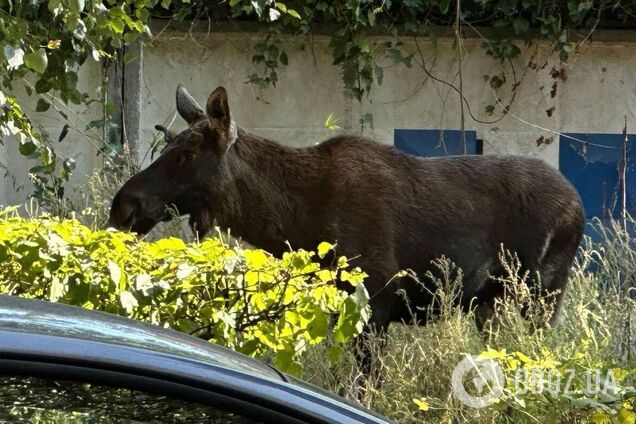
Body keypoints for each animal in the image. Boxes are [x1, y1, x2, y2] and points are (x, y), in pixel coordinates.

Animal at [108, 83, 580, 364]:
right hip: (493, 306)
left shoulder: (376, 307)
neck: (295, 223)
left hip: (539, 298)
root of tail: (577, 205)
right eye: (166, 145)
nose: (123, 206)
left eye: (188, 153)